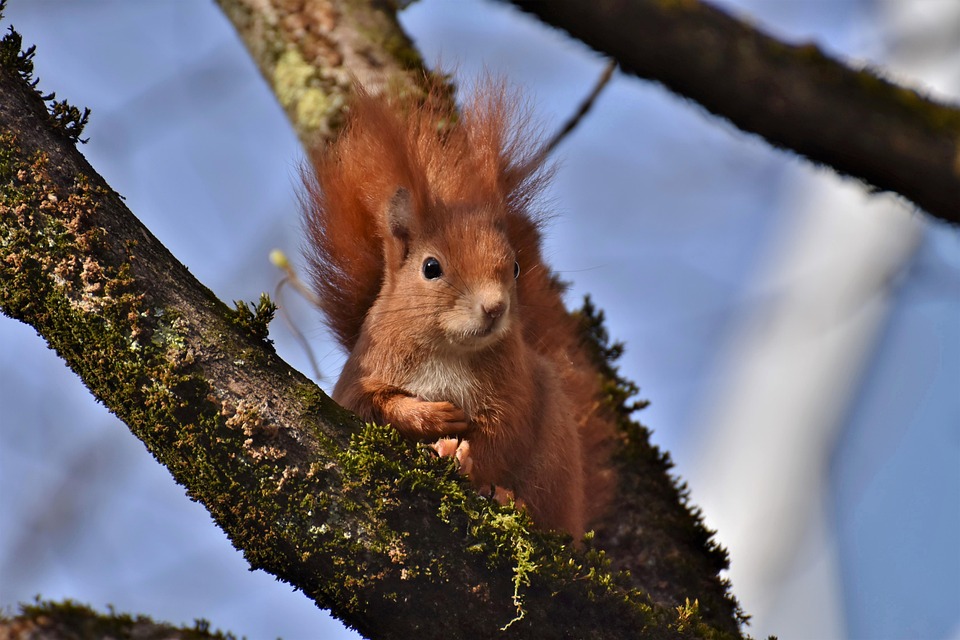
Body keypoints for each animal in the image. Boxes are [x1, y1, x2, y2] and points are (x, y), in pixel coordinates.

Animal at [301, 78, 616, 541]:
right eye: (431, 268)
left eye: (515, 267)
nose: (495, 307)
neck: (448, 351)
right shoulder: (363, 374)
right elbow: (370, 405)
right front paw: (431, 417)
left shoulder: (513, 392)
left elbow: (503, 437)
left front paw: (465, 459)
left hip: (556, 455)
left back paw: (511, 500)